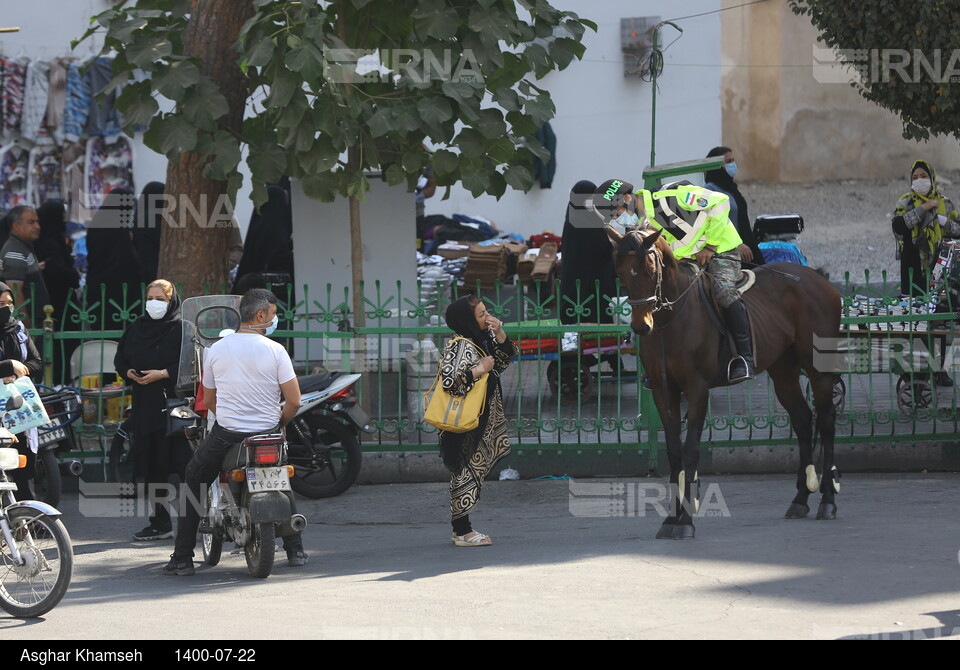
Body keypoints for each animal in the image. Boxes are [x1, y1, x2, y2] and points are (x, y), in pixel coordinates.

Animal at [612, 227, 844, 540]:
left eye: (650, 269)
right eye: (621, 272)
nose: (640, 325)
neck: (672, 317)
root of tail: (818, 278)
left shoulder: (697, 389)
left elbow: (691, 450)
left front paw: (686, 521)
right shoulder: (663, 390)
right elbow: (673, 452)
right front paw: (671, 518)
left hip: (818, 370)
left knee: (827, 423)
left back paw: (828, 502)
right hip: (783, 371)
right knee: (803, 420)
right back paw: (800, 499)